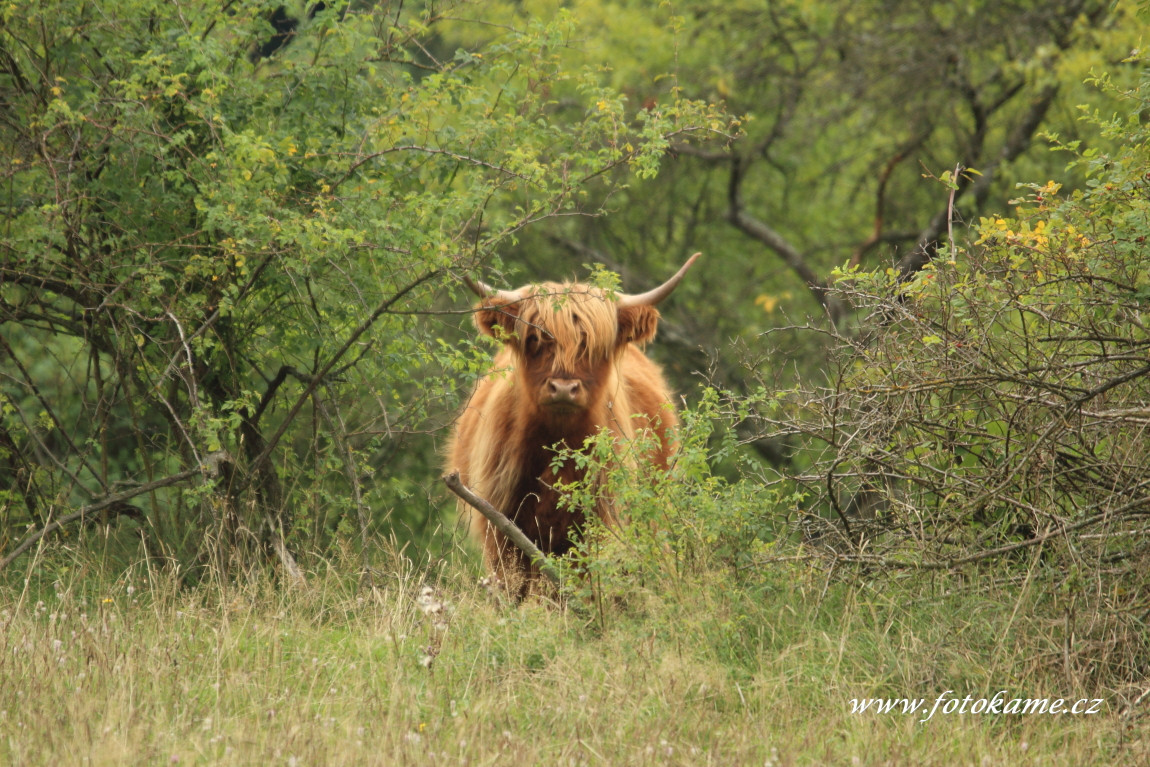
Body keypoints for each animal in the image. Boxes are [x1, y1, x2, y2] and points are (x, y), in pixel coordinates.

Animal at [443, 255, 694, 597]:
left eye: (593, 345)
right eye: (535, 339)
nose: (563, 388)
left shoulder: (603, 521)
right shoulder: (499, 523)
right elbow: (512, 586)